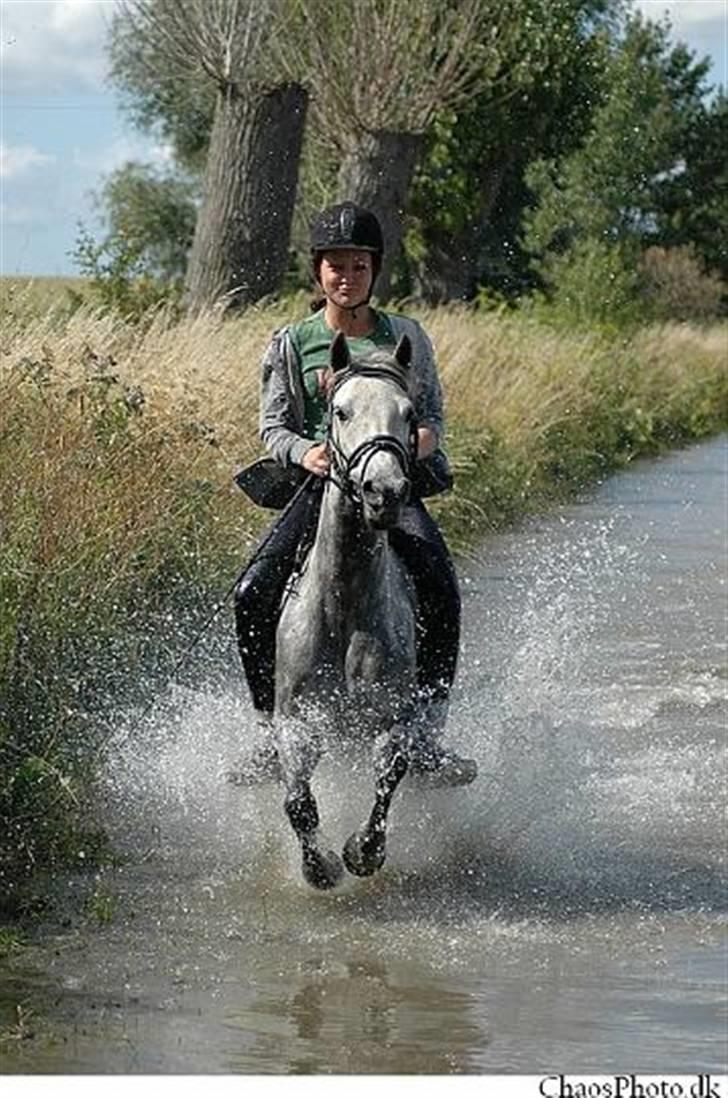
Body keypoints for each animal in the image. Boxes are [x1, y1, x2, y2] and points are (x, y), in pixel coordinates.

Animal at [274, 331, 432, 891]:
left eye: (410, 414)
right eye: (340, 411)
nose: (384, 493)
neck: (342, 606)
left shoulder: (393, 717)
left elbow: (388, 778)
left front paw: (362, 852)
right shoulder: (295, 721)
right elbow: (298, 802)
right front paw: (319, 866)